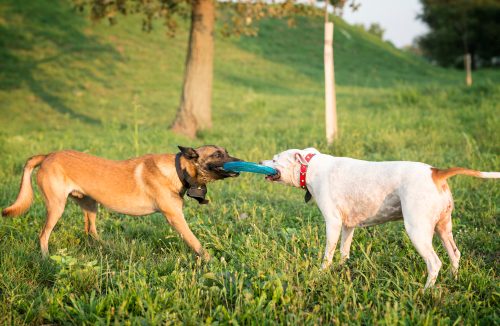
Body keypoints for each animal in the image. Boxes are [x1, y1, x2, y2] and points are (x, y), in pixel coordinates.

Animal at [1, 145, 240, 260]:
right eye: (217, 154)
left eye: (227, 151)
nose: (240, 161)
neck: (177, 169)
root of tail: (48, 155)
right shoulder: (176, 218)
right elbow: (195, 242)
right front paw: (211, 260)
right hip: (56, 207)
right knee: (43, 235)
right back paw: (46, 259)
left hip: (91, 205)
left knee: (90, 231)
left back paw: (110, 248)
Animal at [264, 148, 498, 288]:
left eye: (275, 159)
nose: (260, 160)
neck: (310, 166)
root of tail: (436, 172)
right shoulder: (348, 225)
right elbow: (343, 251)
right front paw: (342, 269)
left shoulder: (333, 223)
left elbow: (327, 254)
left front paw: (322, 273)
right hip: (443, 227)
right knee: (455, 254)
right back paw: (453, 278)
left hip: (417, 230)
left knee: (434, 262)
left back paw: (426, 291)